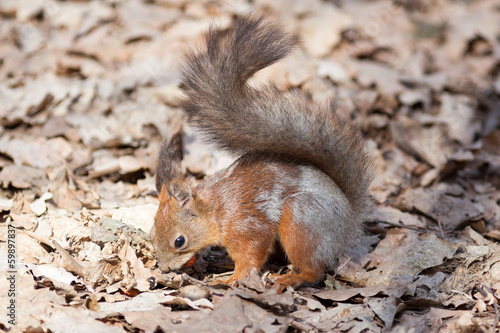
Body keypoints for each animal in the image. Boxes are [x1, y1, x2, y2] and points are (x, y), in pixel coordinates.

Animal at [152, 13, 376, 288]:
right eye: (151, 233)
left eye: (179, 241)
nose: (163, 269)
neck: (216, 210)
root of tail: (348, 225)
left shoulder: (247, 227)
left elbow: (250, 255)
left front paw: (232, 279)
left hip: (301, 222)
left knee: (314, 270)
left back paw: (289, 278)